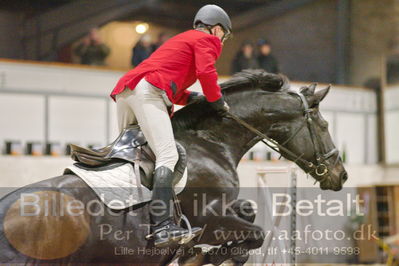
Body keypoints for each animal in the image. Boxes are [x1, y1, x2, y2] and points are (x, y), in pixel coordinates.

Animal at [0, 71, 346, 266]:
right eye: (324, 125)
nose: (340, 174)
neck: (211, 142)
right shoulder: (210, 217)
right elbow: (256, 234)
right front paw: (206, 254)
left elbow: (248, 212)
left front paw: (205, 254)